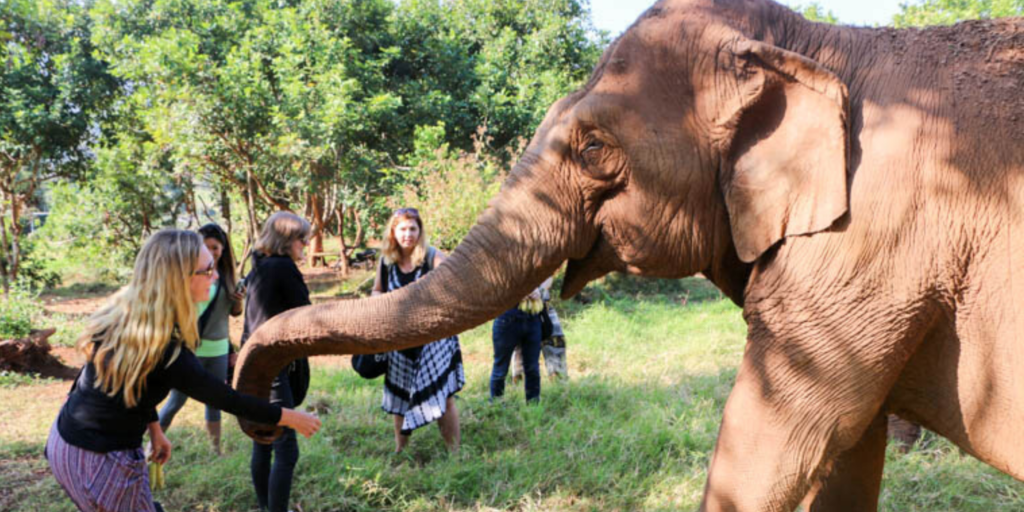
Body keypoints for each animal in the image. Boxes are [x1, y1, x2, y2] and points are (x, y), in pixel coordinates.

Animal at [235, 0, 1024, 509]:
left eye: (592, 149)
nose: (271, 410)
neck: (825, 43)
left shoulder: (871, 250)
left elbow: (780, 444)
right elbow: (845, 456)